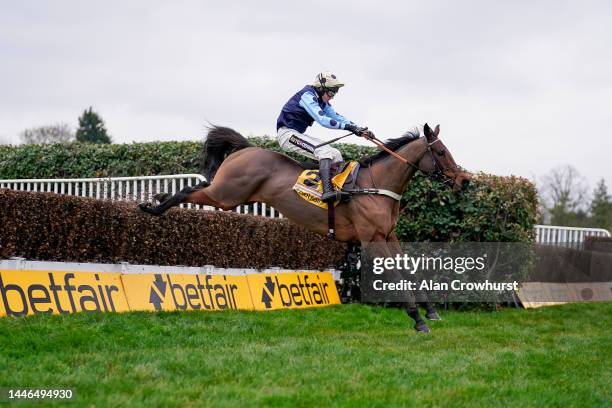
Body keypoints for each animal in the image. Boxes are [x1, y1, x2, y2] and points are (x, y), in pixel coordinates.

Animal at [141, 123, 470, 332]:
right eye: (441, 152)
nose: (464, 181)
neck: (375, 185)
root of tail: (245, 148)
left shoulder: (389, 235)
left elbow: (411, 270)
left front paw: (430, 311)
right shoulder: (371, 238)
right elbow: (397, 275)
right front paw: (417, 319)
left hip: (228, 194)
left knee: (197, 187)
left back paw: (155, 199)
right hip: (226, 195)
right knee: (188, 191)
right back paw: (152, 206)